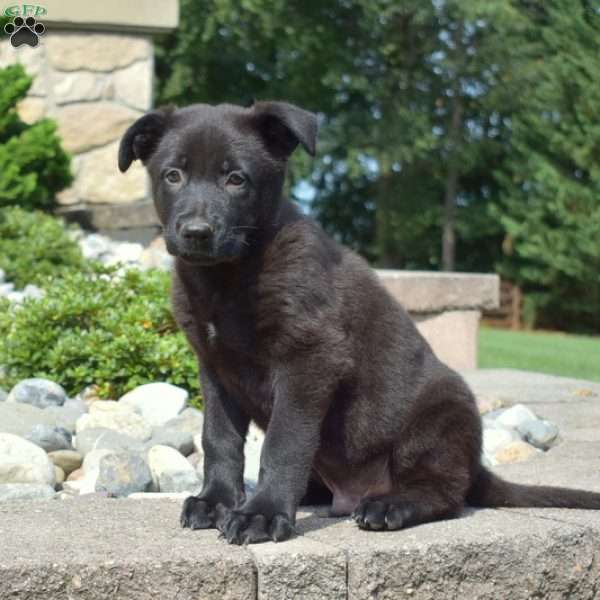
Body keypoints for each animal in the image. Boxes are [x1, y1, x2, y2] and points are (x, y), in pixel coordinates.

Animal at [119, 99, 600, 544]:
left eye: (236, 179)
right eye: (173, 175)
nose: (196, 233)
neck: (230, 276)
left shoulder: (309, 359)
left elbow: (283, 442)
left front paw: (263, 513)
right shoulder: (215, 367)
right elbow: (219, 439)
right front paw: (216, 501)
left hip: (440, 414)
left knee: (445, 492)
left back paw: (390, 506)